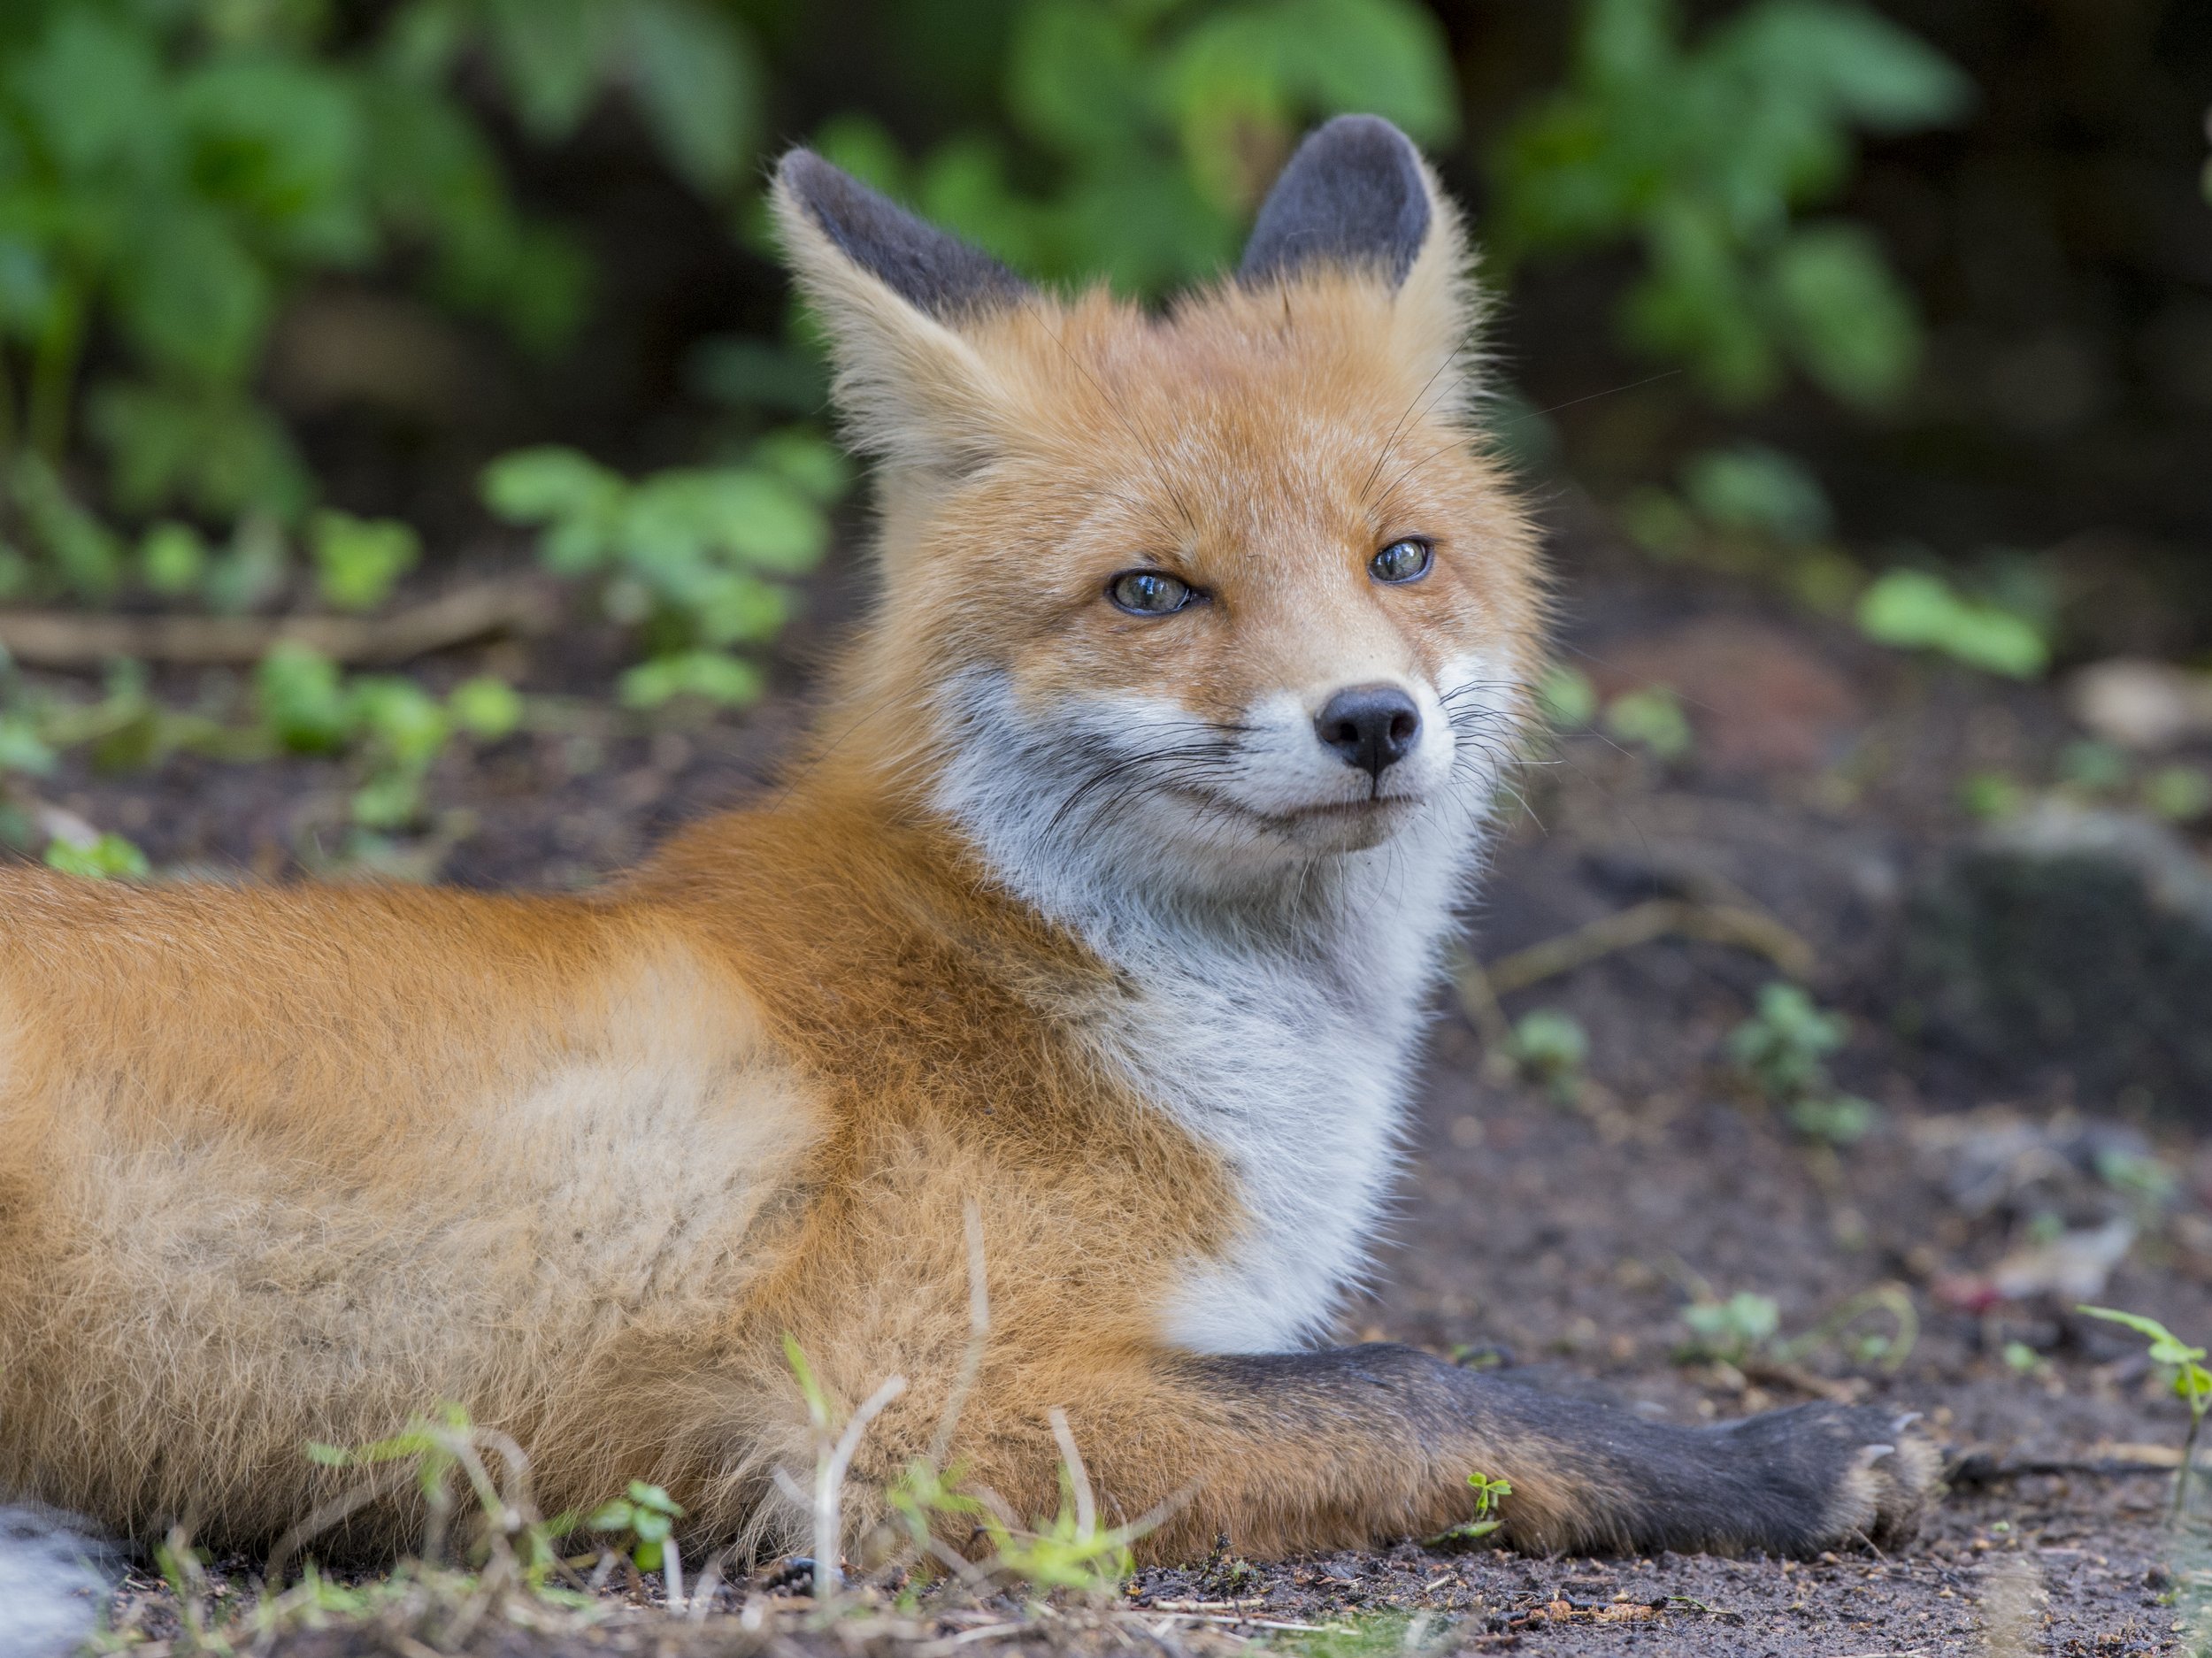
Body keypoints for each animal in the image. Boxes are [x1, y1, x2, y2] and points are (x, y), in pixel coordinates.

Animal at [0, 117, 1938, 1574]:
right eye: (1152, 592)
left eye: (1401, 558)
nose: (1373, 720)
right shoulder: (908, 1408)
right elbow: (1424, 1384)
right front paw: (1773, 1459)